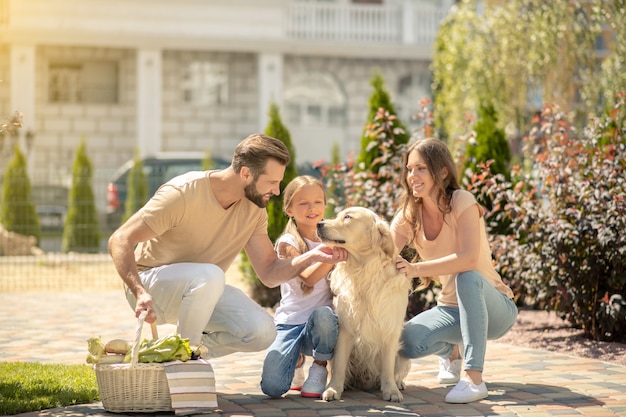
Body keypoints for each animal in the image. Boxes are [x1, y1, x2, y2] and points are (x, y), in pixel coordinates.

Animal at [316, 206, 410, 402]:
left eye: (347, 217)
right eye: (338, 215)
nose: (318, 224)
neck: (364, 270)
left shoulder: (390, 329)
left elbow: (388, 368)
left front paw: (391, 391)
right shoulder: (346, 328)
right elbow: (340, 365)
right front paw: (333, 389)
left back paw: (399, 383)